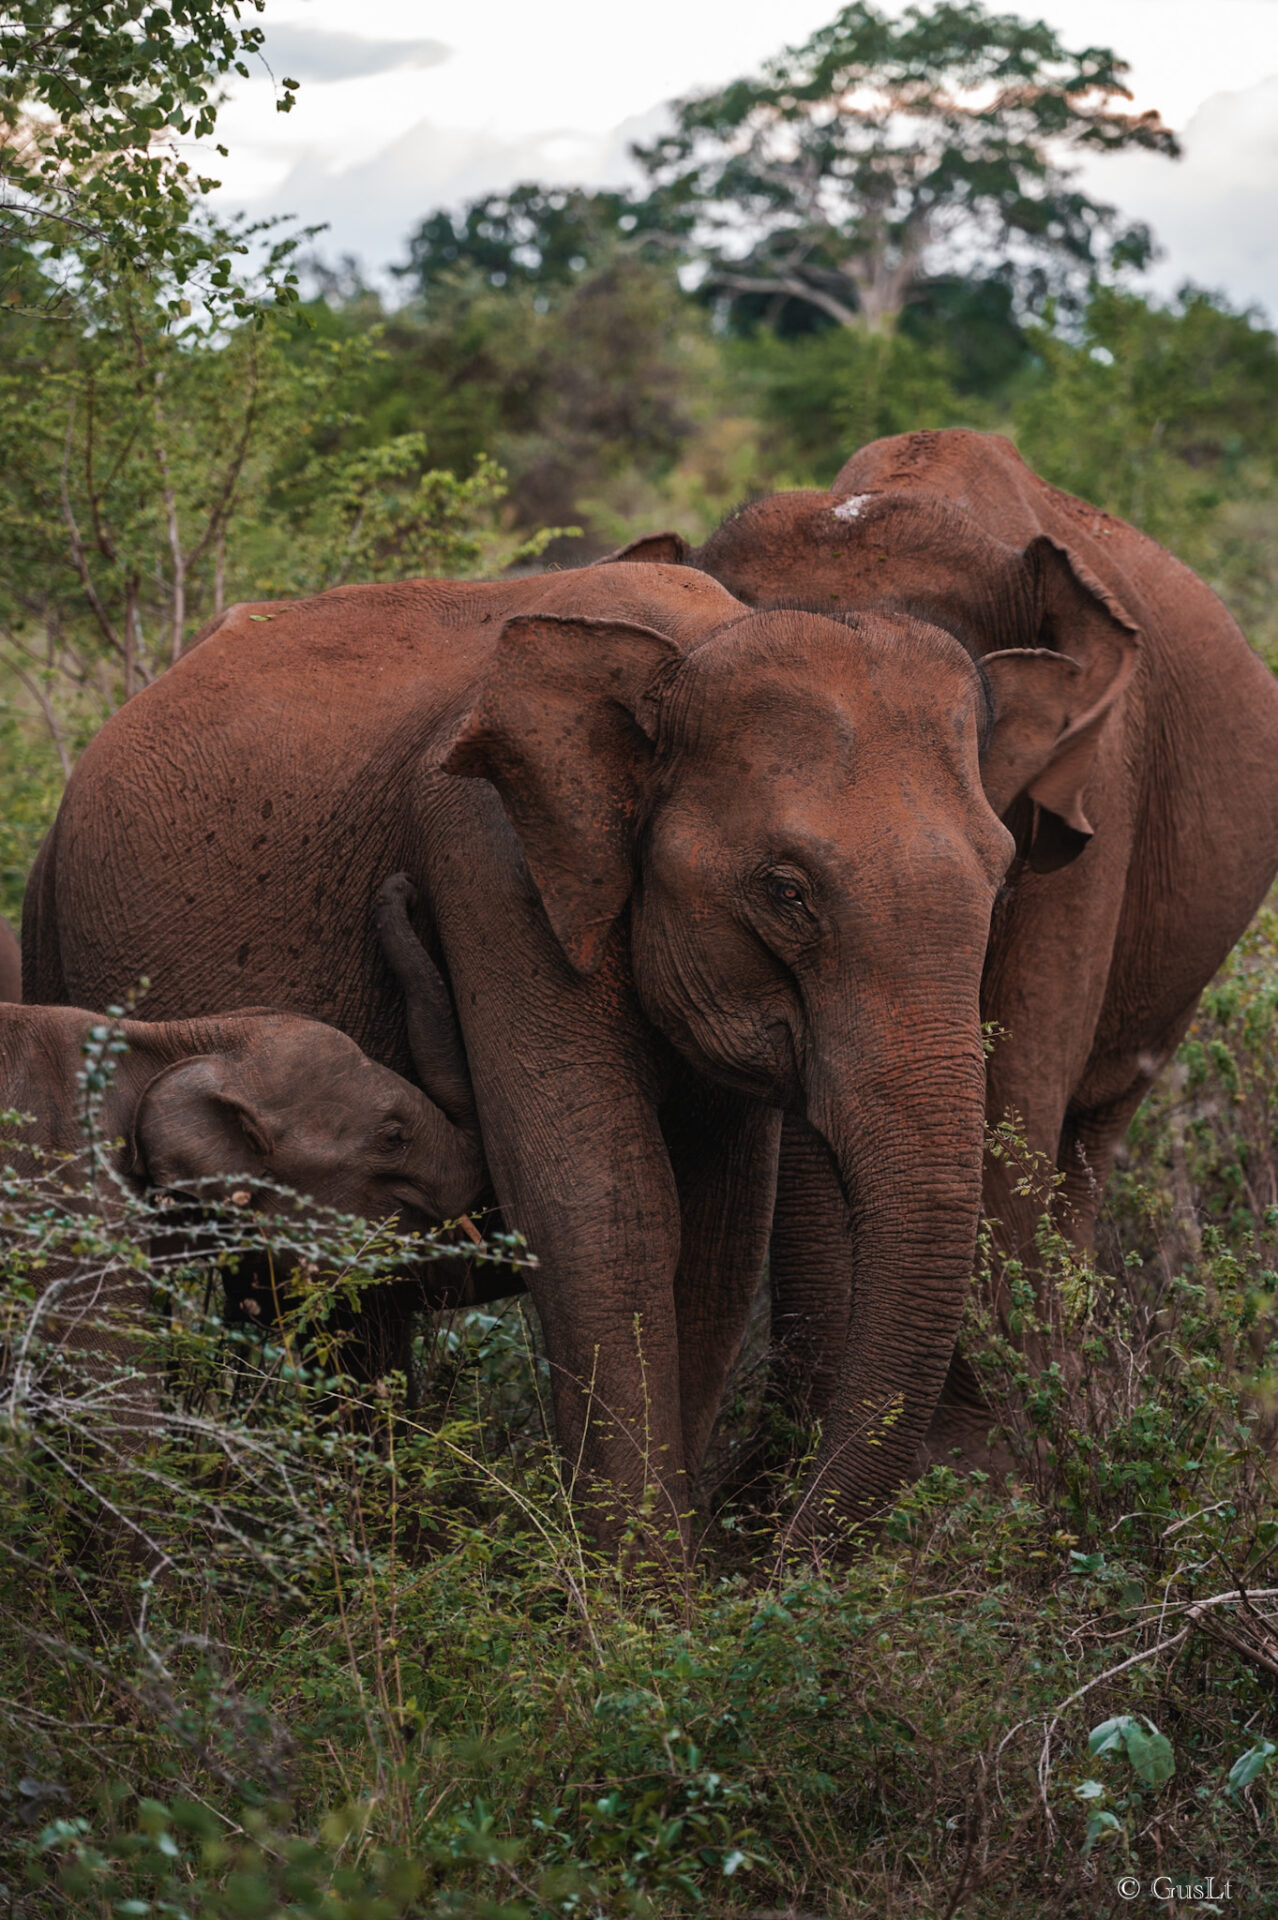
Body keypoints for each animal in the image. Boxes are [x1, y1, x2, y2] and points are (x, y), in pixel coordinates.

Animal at [22, 560, 1128, 1543]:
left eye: (1002, 879)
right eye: (786, 891)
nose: (776, 1556)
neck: (683, 649)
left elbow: (718, 1229)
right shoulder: (488, 857)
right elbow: (601, 1201)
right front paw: (646, 1611)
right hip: (48, 931)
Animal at [606, 420, 1274, 1443]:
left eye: (1001, 875)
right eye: (782, 890)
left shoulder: (1088, 798)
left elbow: (1016, 1092)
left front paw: (979, 1465)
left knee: (1087, 1135)